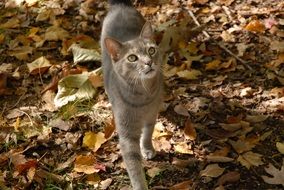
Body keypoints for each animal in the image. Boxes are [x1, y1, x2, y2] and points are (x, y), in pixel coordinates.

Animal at [100, 0, 163, 190]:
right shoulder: (127, 134)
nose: (149, 62)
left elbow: (148, 132)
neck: (144, 95)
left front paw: (147, 148)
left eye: (151, 51)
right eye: (132, 58)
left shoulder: (152, 114)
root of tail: (120, 5)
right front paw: (140, 185)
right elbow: (134, 166)